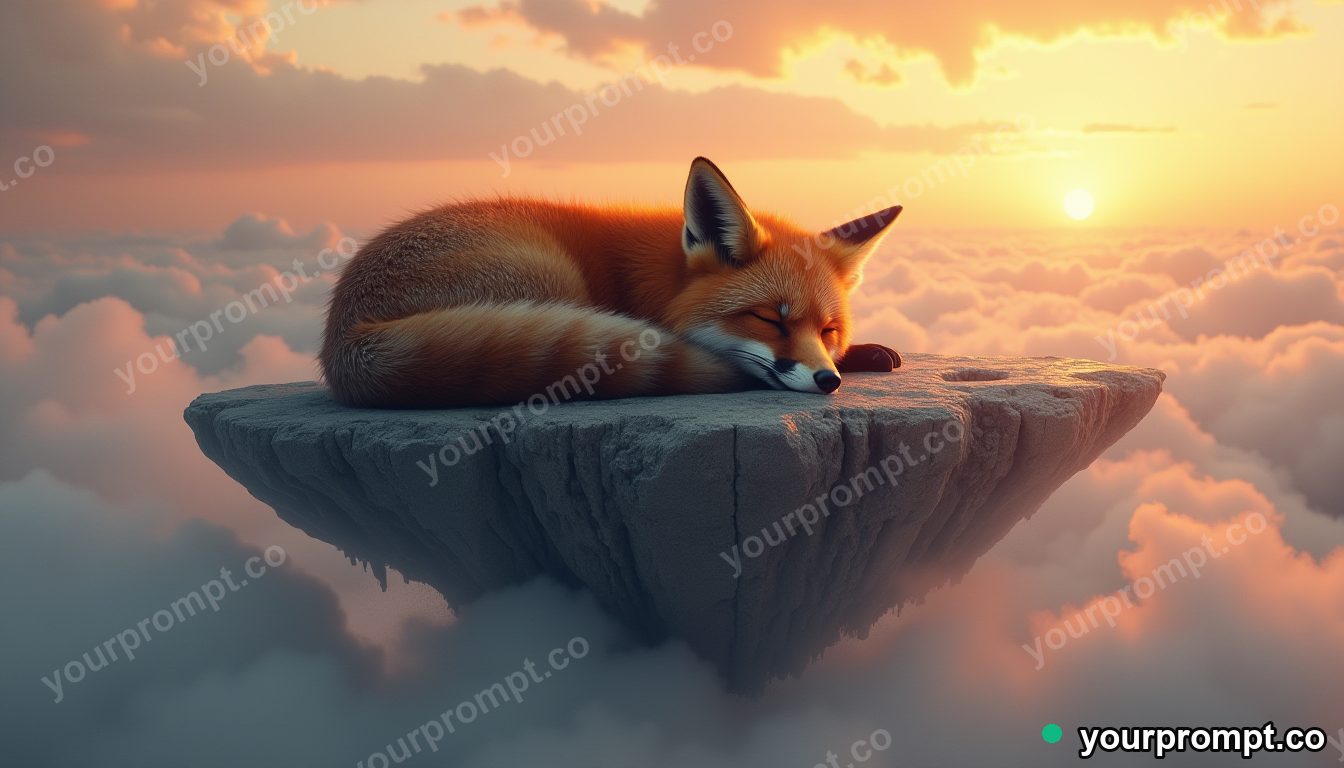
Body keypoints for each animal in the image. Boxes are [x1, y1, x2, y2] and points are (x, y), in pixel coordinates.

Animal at [320, 157, 902, 408]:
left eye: (828, 331)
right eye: (766, 319)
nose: (828, 381)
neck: (653, 279)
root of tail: (340, 337)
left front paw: (867, 354)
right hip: (554, 277)